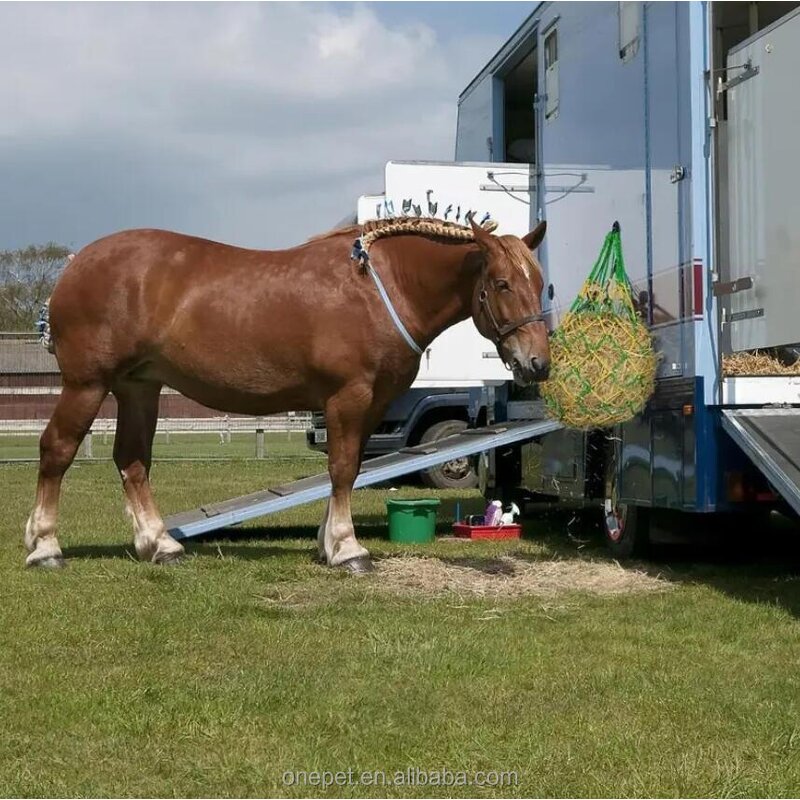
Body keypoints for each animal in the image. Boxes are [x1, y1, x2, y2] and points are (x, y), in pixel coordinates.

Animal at [24, 216, 550, 572]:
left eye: (540, 283)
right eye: (502, 283)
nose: (537, 362)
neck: (380, 289)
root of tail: (75, 266)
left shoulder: (372, 404)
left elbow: (349, 468)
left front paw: (327, 543)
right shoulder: (348, 397)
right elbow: (342, 468)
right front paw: (348, 548)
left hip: (139, 387)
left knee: (132, 460)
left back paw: (159, 545)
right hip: (88, 385)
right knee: (57, 450)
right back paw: (45, 547)